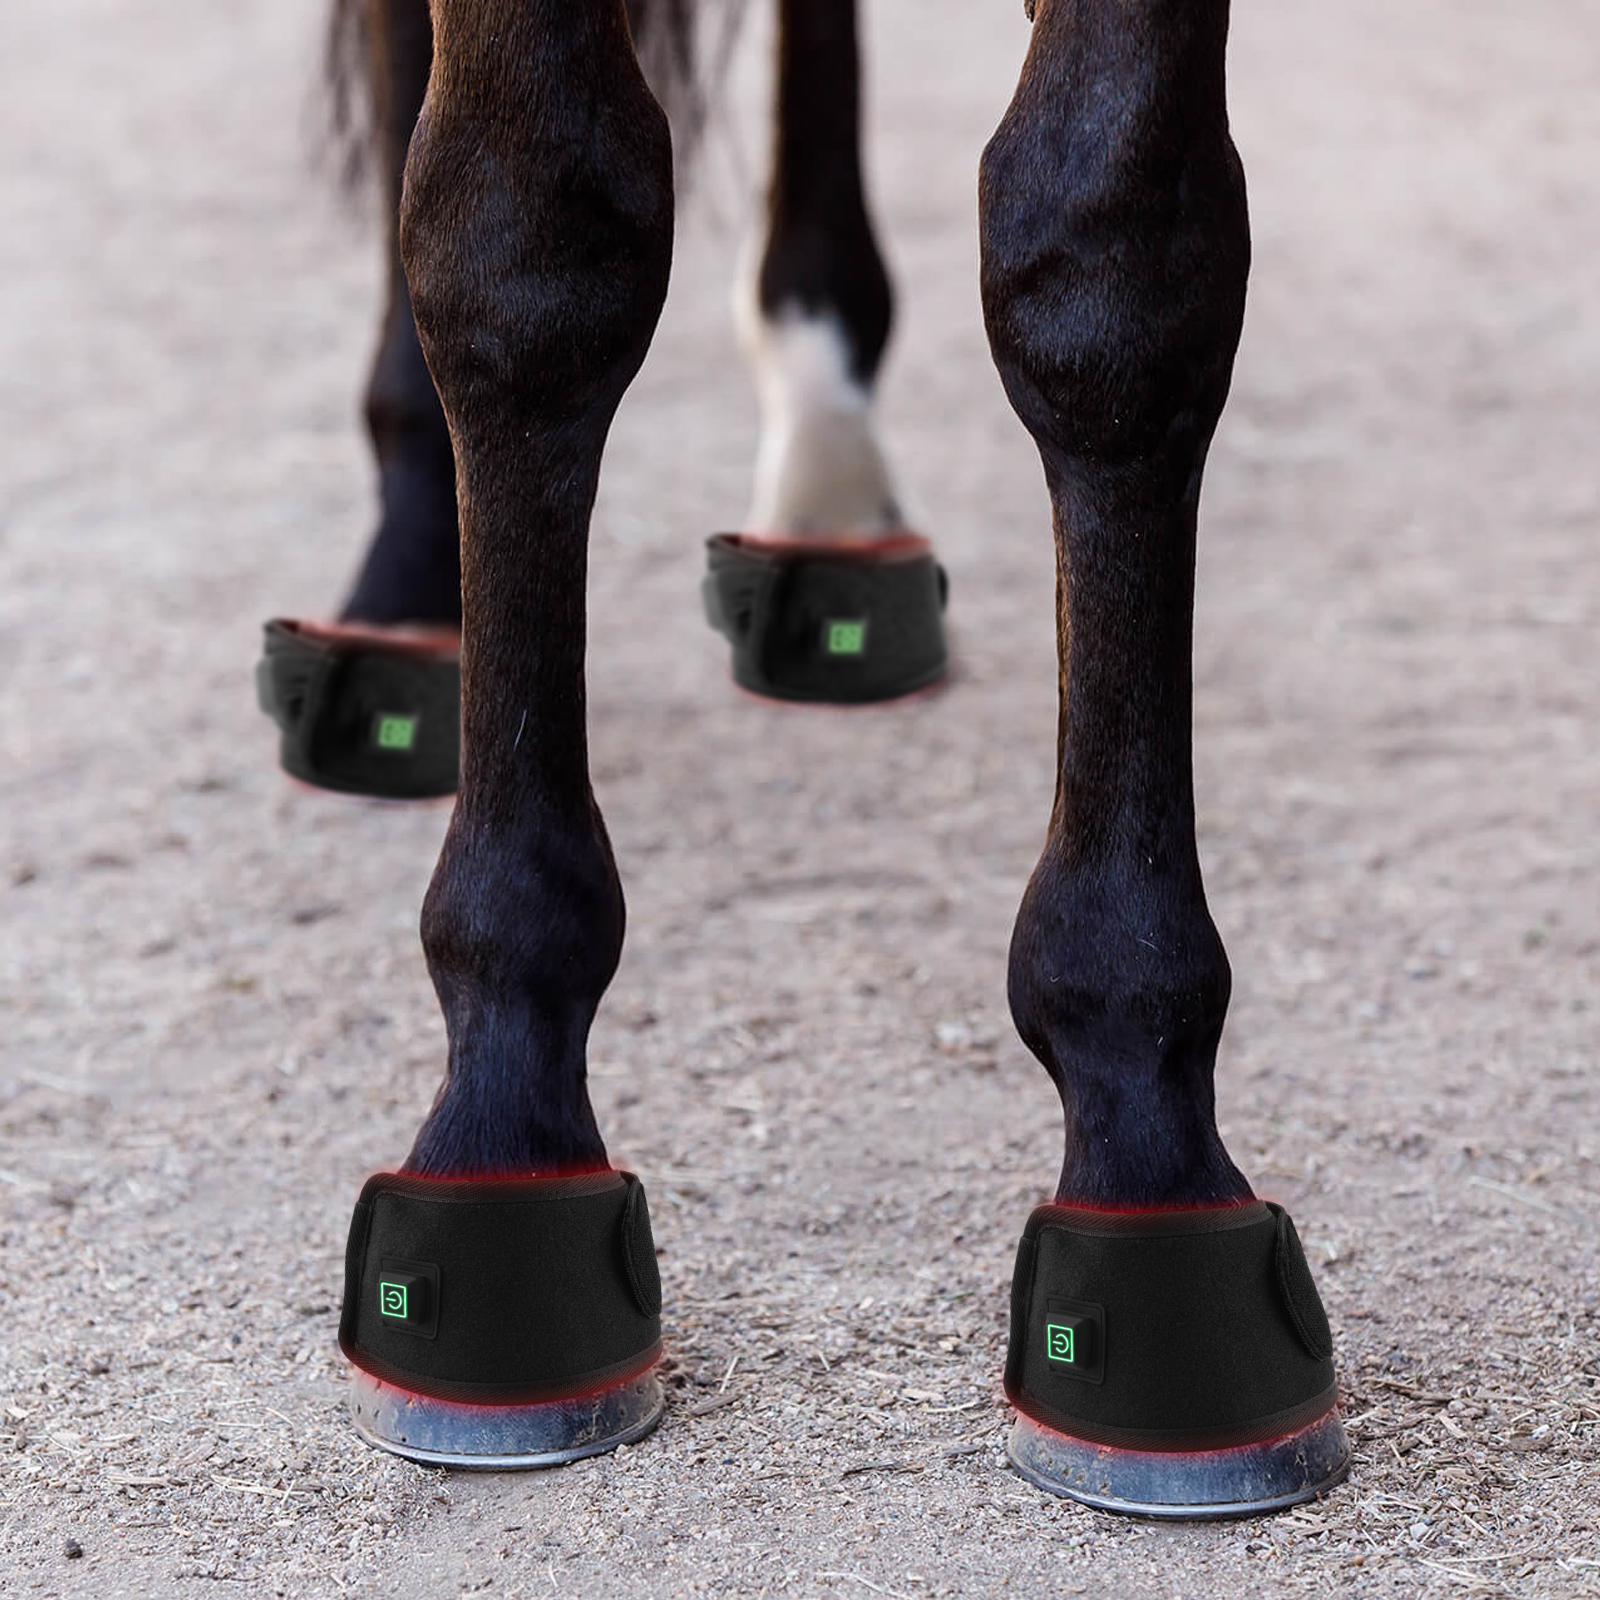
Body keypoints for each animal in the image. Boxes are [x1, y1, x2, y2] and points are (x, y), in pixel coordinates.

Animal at [286, 0, 1350, 1518]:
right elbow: (523, 237)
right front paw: (501, 1117)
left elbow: (1115, 267)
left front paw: (1145, 1136)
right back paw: (405, 588)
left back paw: (832, 494)